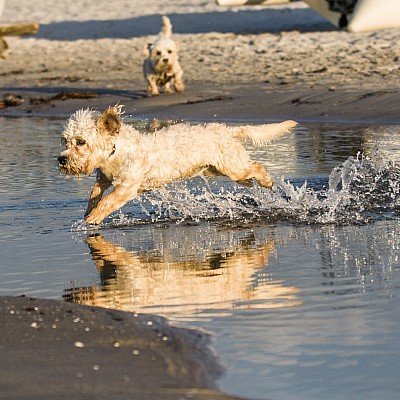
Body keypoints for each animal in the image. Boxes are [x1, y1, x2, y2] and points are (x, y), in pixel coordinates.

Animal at [58, 106, 296, 223]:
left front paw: (93, 218)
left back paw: (267, 181)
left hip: (233, 168)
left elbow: (108, 201)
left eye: (81, 142)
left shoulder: (127, 186)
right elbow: (94, 194)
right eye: (65, 141)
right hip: (225, 170)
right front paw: (88, 211)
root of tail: (228, 131)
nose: (61, 159)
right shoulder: (103, 178)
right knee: (249, 173)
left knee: (257, 166)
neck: (116, 153)